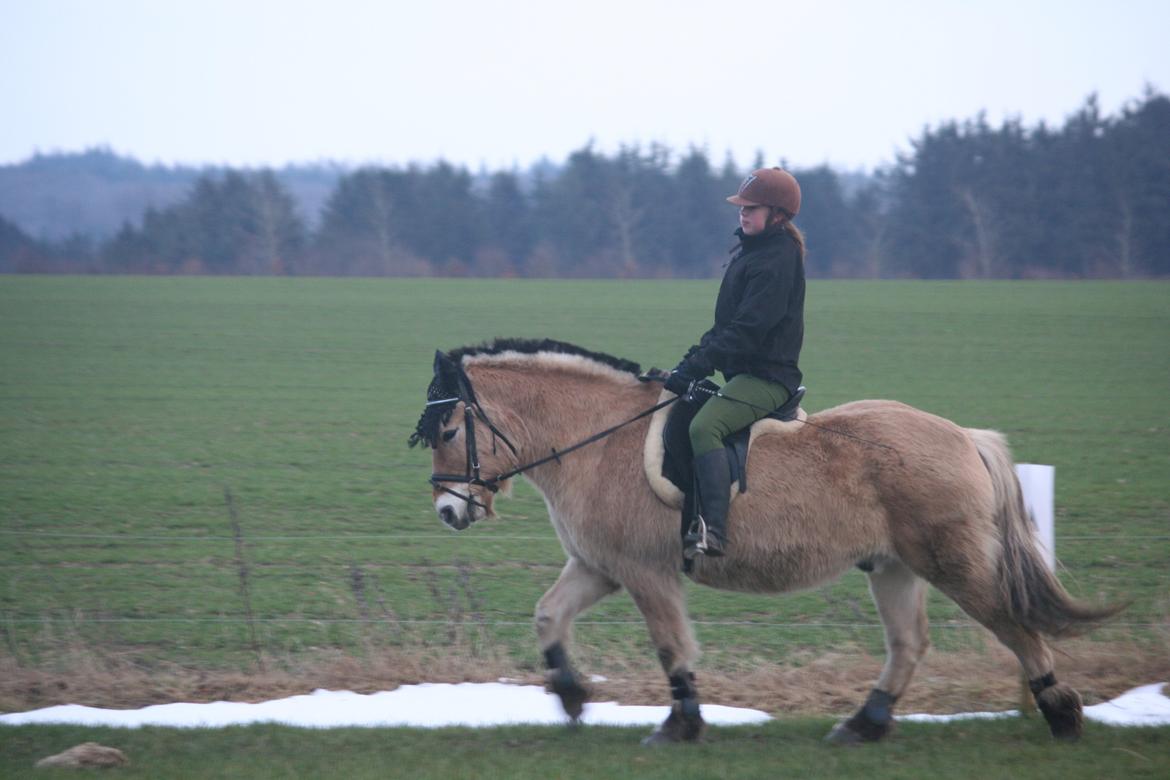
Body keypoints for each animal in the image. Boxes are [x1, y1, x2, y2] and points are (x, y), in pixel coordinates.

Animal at [407, 336, 1118, 743]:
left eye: (449, 430)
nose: (447, 510)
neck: (598, 437)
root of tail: (965, 436)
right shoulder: (598, 566)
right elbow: (548, 616)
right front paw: (573, 695)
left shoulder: (644, 572)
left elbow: (671, 647)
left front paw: (682, 724)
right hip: (892, 566)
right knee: (910, 644)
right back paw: (864, 724)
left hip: (953, 561)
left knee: (1013, 624)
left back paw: (1060, 712)